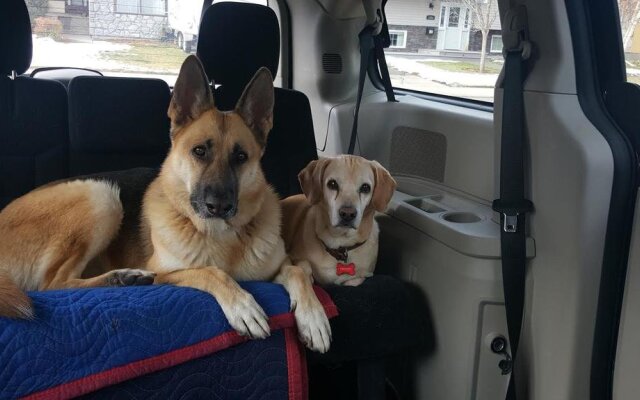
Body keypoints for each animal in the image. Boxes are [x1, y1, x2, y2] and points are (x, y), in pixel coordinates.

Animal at [0, 57, 330, 354]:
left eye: (240, 157)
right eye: (199, 151)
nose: (218, 206)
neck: (221, 237)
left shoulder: (279, 267)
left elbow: (299, 272)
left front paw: (314, 318)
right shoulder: (165, 272)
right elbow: (210, 271)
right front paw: (242, 305)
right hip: (102, 196)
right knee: (51, 284)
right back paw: (122, 278)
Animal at [282, 155, 396, 286]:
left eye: (365, 187)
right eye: (332, 184)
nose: (347, 214)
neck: (341, 243)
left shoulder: (362, 276)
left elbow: (355, 280)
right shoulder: (294, 257)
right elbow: (305, 267)